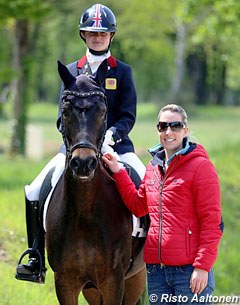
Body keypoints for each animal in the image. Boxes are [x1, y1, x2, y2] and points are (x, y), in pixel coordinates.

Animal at [45, 60, 148, 302]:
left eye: (102, 110)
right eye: (65, 111)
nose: (84, 163)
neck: (85, 211)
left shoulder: (113, 281)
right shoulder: (65, 281)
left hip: (135, 279)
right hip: (92, 289)